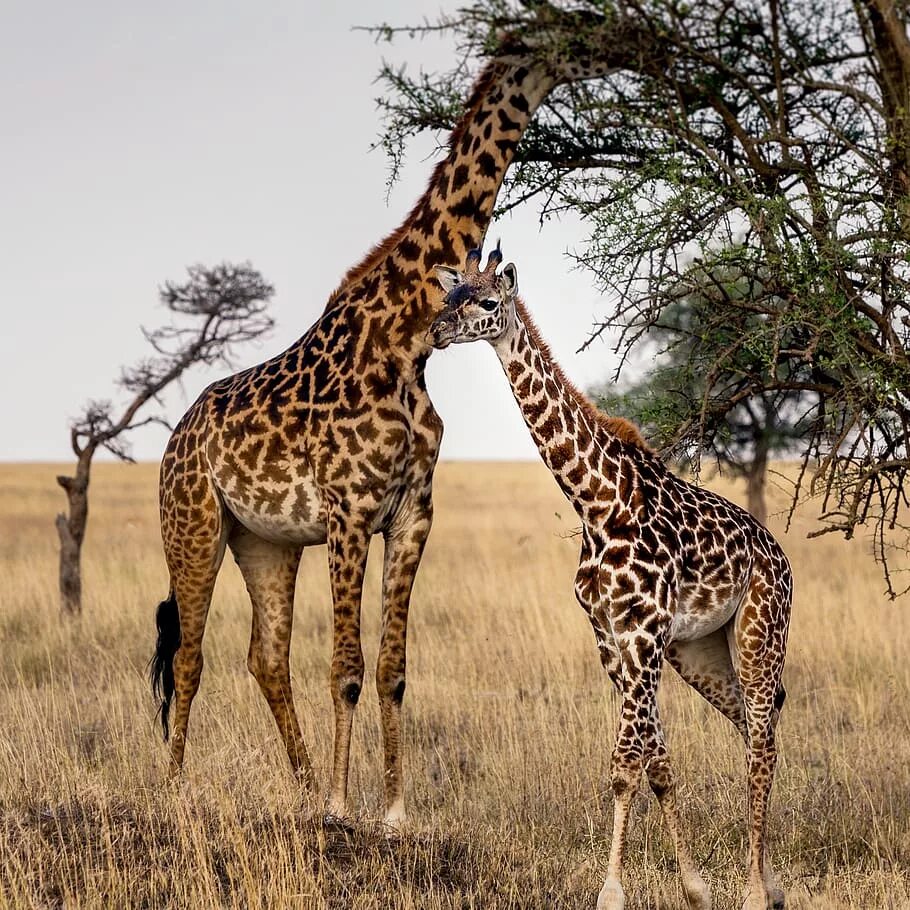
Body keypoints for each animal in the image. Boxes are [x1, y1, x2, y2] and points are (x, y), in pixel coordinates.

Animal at [151, 37, 636, 832]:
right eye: (571, 33)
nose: (624, 46)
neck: (404, 343)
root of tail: (174, 440)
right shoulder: (349, 512)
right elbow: (346, 668)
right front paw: (343, 808)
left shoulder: (412, 512)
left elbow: (392, 669)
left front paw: (393, 810)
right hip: (193, 524)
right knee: (190, 654)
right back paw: (178, 789)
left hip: (266, 542)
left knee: (265, 656)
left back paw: (302, 785)